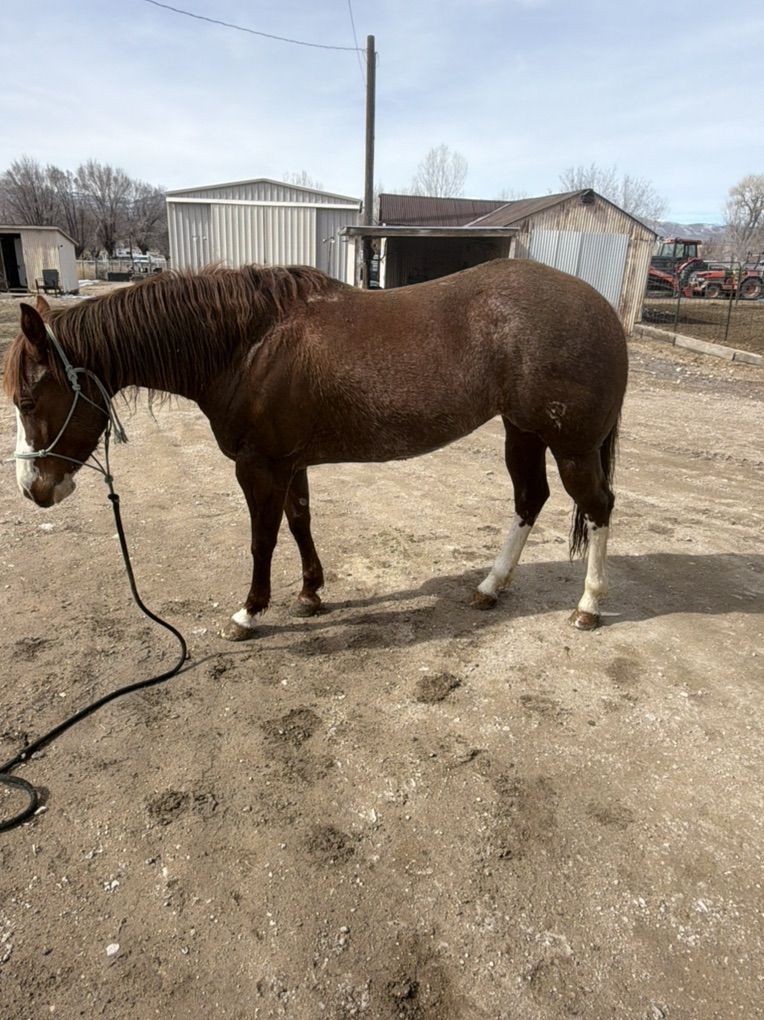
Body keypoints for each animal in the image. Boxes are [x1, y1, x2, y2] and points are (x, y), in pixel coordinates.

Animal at [4, 259, 628, 639]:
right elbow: (300, 521)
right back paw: (490, 588)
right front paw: (309, 594)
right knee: (529, 499)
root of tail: (602, 309)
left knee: (598, 507)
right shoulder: (290, 463)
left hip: (571, 447)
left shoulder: (259, 468)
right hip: (522, 433)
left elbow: (262, 539)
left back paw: (589, 606)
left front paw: (249, 612)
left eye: (28, 400)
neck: (247, 346)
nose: (33, 489)